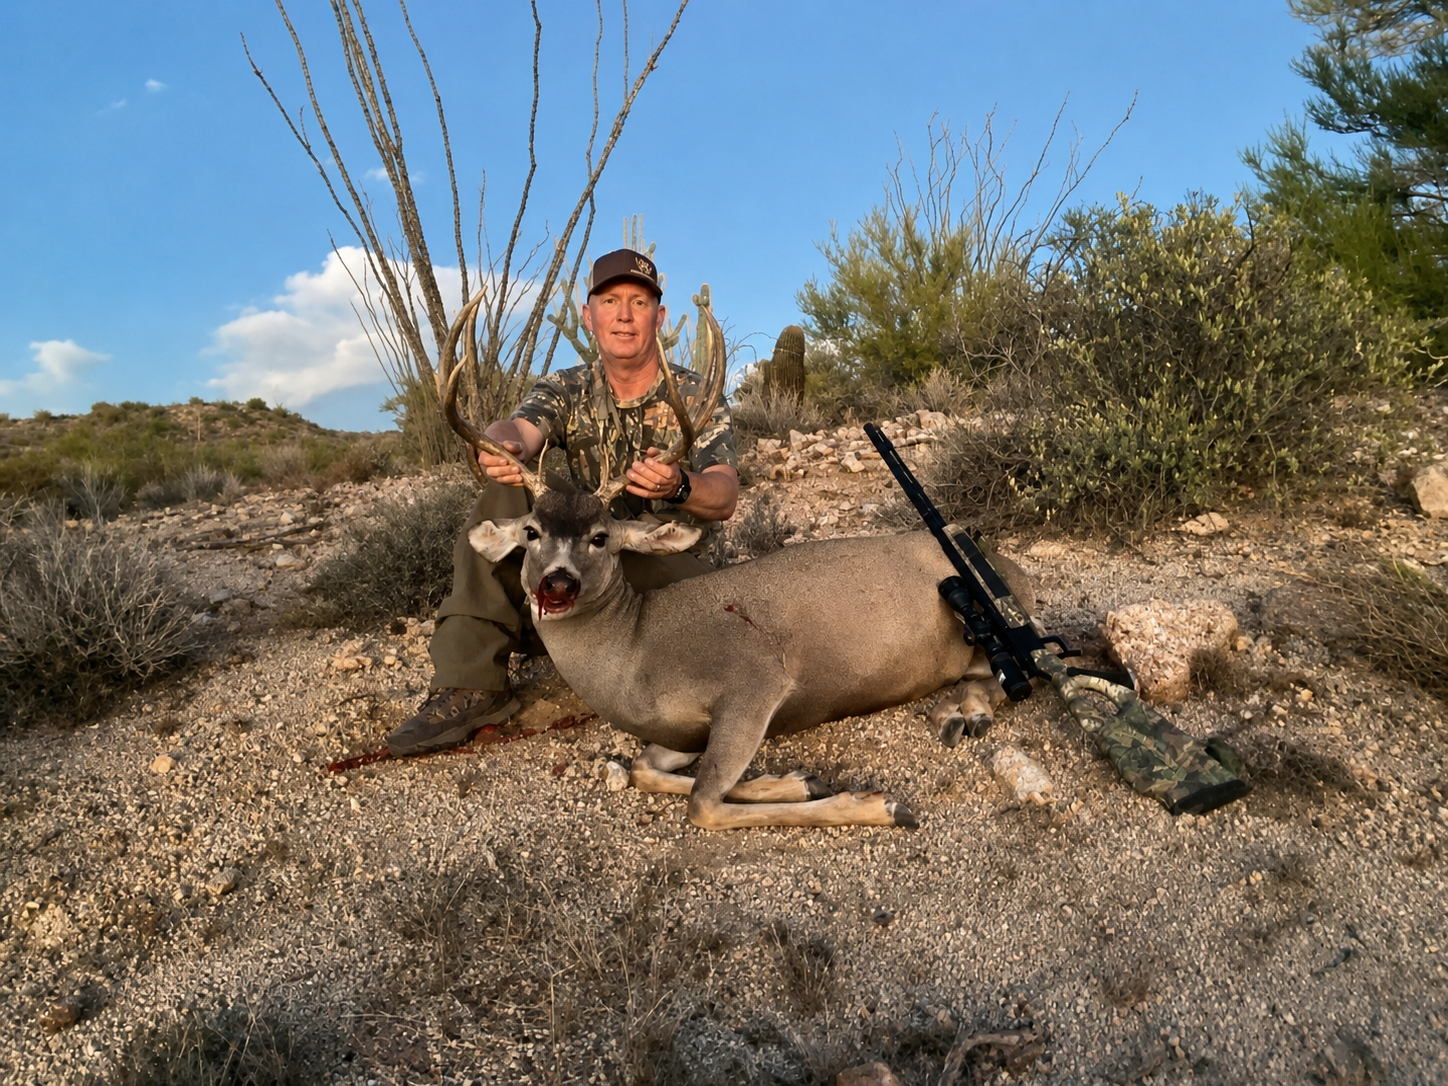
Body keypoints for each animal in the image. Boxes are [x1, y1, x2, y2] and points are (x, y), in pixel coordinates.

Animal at [441, 292, 1036, 831]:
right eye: (532, 532)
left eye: (601, 537)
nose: (556, 584)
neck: (635, 656)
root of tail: (1011, 566)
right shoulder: (679, 733)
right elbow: (644, 768)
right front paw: (800, 779)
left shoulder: (753, 684)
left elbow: (703, 802)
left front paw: (876, 803)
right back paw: (957, 715)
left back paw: (963, 715)